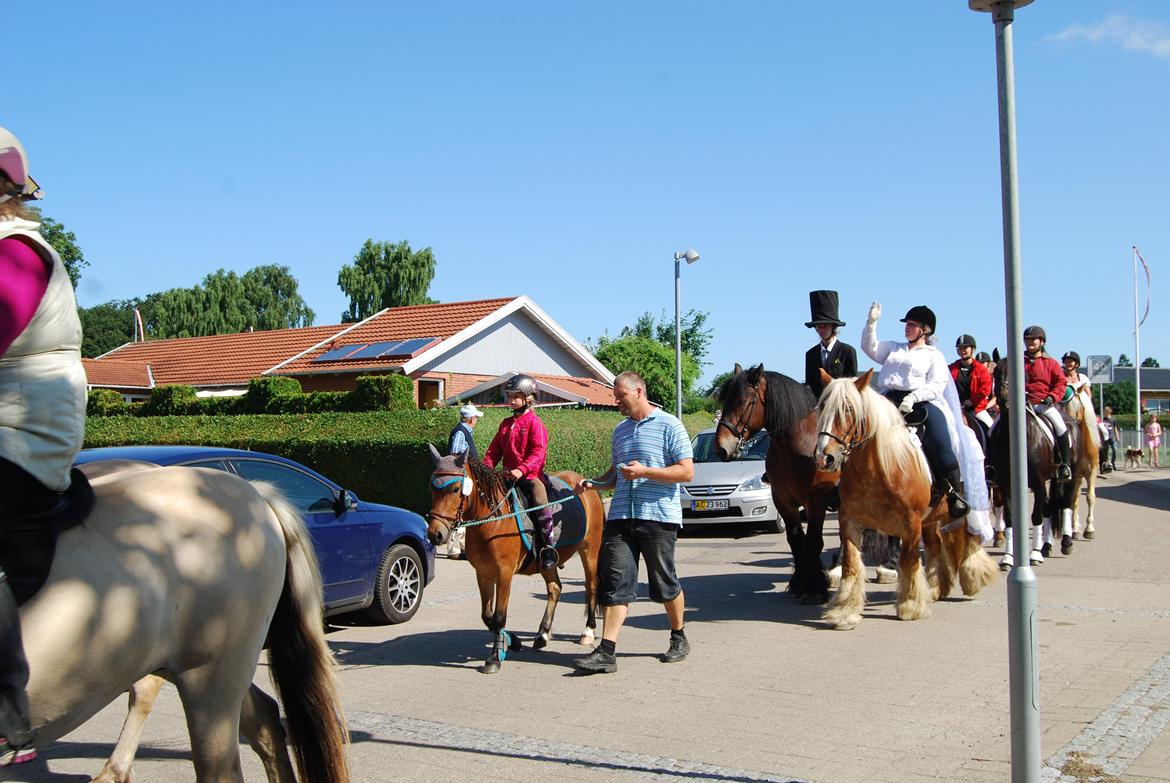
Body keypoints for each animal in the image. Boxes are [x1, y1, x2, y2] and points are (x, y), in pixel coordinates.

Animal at [425, 444, 603, 674]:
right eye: (432, 488)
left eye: (456, 489)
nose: (435, 534)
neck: (494, 520)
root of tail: (584, 483)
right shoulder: (483, 573)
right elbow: (487, 616)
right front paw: (512, 641)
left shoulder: (504, 574)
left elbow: (499, 616)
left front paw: (494, 657)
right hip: (547, 564)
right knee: (555, 587)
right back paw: (542, 633)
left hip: (590, 551)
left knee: (591, 586)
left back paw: (588, 631)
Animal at [706, 362, 837, 603]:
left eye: (744, 402)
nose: (720, 448)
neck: (797, 448)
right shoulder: (783, 501)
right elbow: (796, 540)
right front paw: (799, 584)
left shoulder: (816, 503)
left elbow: (814, 541)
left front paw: (815, 589)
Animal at [814, 369, 996, 632]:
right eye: (822, 407)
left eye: (848, 409)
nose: (825, 458)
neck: (880, 468)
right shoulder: (849, 521)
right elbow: (851, 563)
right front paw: (845, 611)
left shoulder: (911, 524)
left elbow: (909, 561)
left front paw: (910, 606)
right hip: (932, 517)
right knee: (935, 544)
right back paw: (934, 586)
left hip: (966, 505)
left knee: (970, 536)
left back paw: (973, 577)